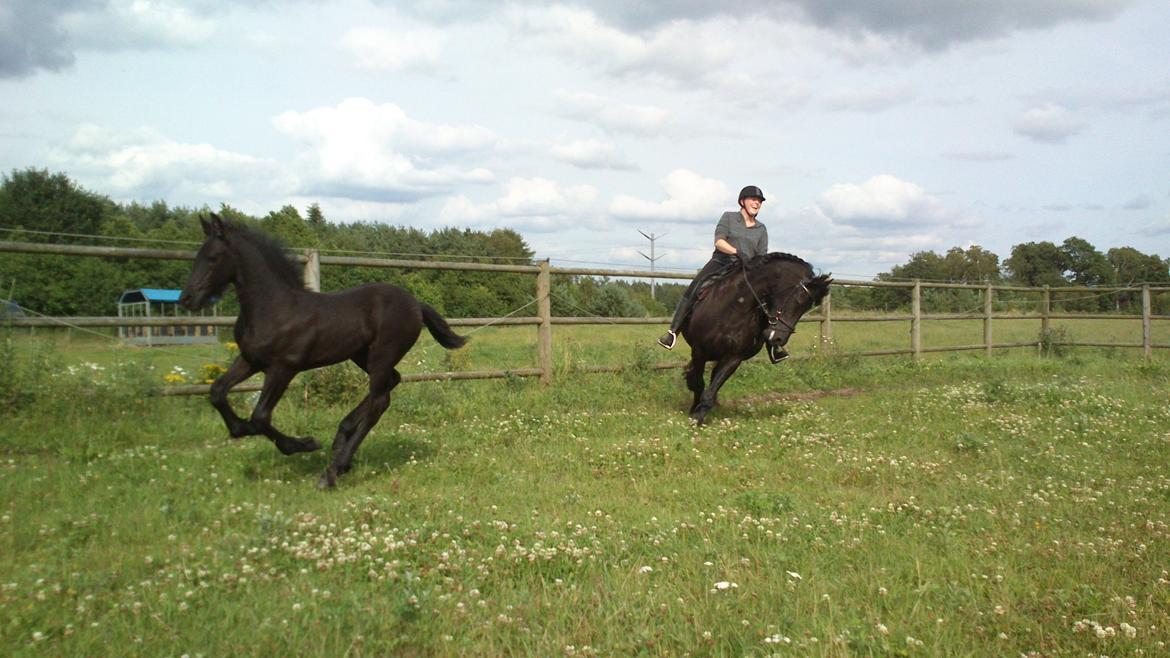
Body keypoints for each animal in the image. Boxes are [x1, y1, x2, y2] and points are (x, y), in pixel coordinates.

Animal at [177, 215, 465, 487]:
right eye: (197, 256)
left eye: (213, 258)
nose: (187, 298)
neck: (273, 308)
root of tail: (415, 303)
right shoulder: (250, 360)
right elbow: (217, 392)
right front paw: (239, 428)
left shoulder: (284, 367)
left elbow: (260, 417)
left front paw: (303, 444)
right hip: (362, 355)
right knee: (391, 383)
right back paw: (342, 436)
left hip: (382, 355)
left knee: (379, 401)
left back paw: (333, 471)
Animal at [678, 254, 833, 421]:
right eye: (798, 299)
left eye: (806, 307)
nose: (779, 339)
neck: (735, 307)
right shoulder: (699, 351)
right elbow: (698, 384)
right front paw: (694, 414)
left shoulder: (734, 357)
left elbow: (711, 389)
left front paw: (699, 415)